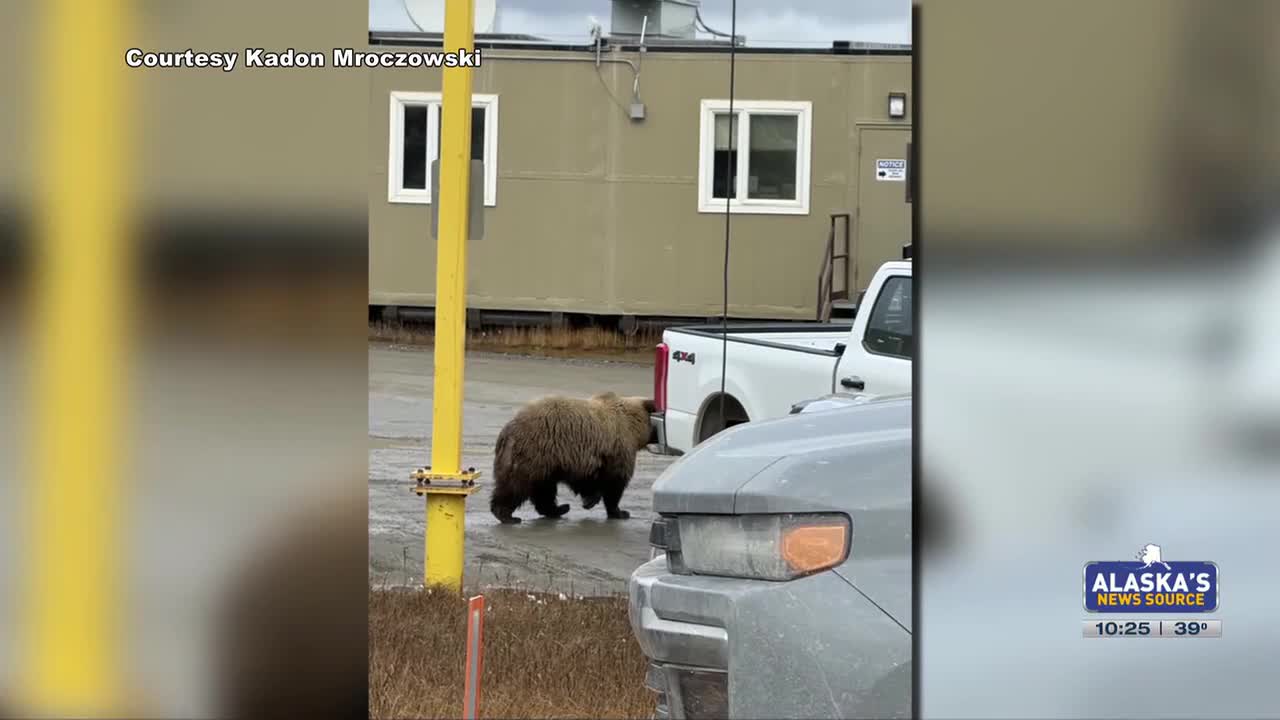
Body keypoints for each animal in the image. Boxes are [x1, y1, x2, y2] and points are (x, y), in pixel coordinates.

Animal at [489, 391, 658, 524]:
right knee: (518, 484)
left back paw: (559, 509)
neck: (633, 427)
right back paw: (507, 515)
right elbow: (614, 483)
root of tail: (507, 430)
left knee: (543, 488)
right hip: (535, 451)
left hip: (543, 461)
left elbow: (588, 480)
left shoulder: (585, 456)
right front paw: (620, 512)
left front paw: (590, 500)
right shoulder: (616, 448)